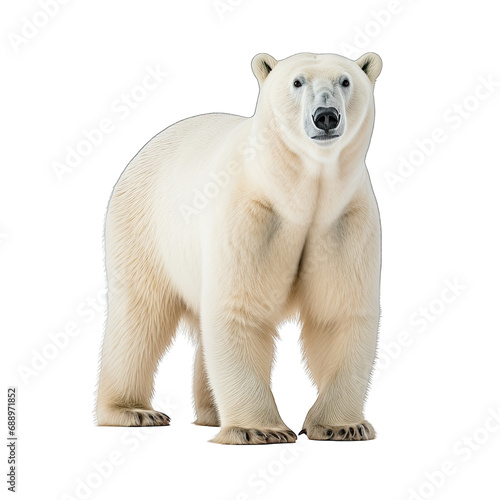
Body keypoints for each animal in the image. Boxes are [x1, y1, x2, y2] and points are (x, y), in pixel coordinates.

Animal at [96, 50, 382, 444]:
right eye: (297, 82)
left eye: (345, 80)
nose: (326, 116)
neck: (297, 194)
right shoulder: (251, 215)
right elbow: (239, 308)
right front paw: (259, 429)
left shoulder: (343, 220)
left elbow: (341, 312)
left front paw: (343, 425)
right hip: (142, 229)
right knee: (139, 315)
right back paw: (133, 411)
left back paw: (213, 411)